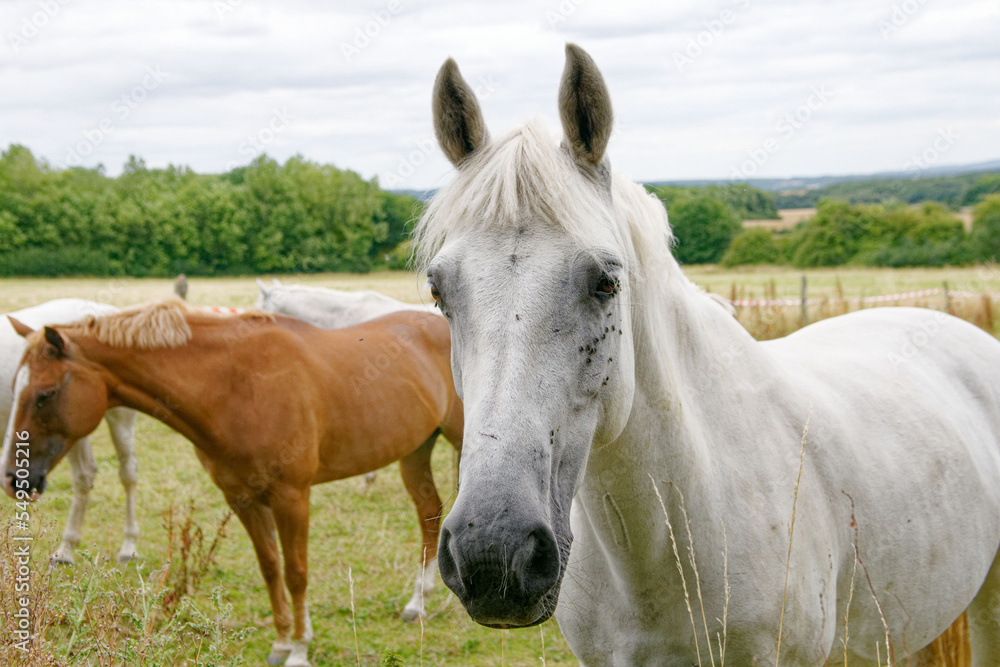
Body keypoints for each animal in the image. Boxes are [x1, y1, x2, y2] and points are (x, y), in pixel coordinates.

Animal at [1, 299, 140, 564]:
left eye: (44, 395)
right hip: (73, 434)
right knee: (86, 474)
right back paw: (66, 549)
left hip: (118, 419)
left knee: (126, 473)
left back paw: (128, 545)